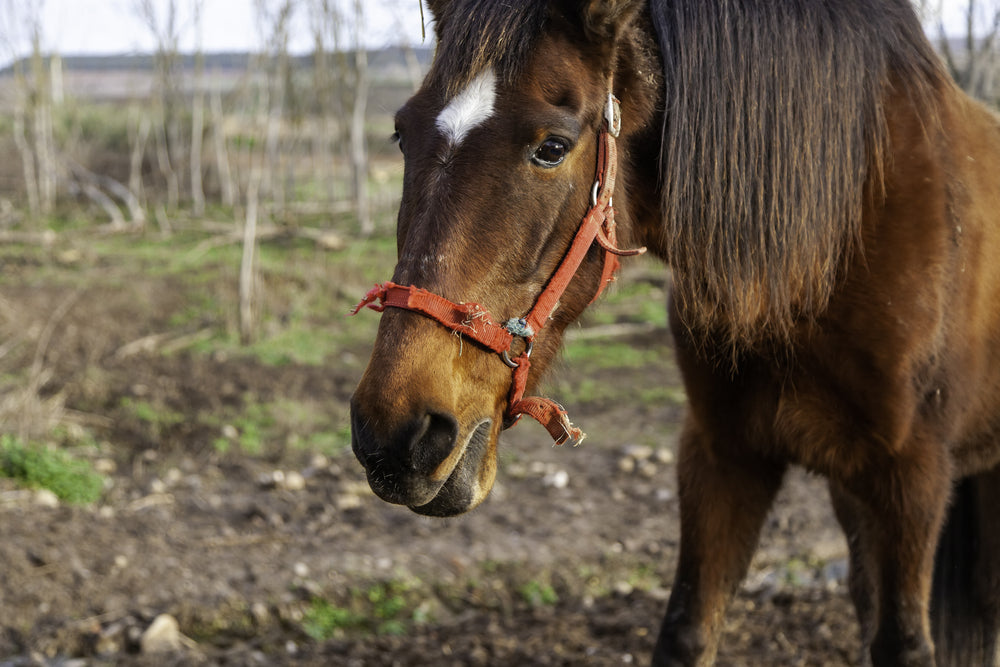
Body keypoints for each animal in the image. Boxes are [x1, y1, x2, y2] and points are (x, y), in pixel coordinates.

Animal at [348, 1, 1000, 664]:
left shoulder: (912, 477)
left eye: (552, 148)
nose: (396, 433)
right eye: (402, 133)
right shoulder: (722, 455)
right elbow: (687, 631)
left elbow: (905, 643)